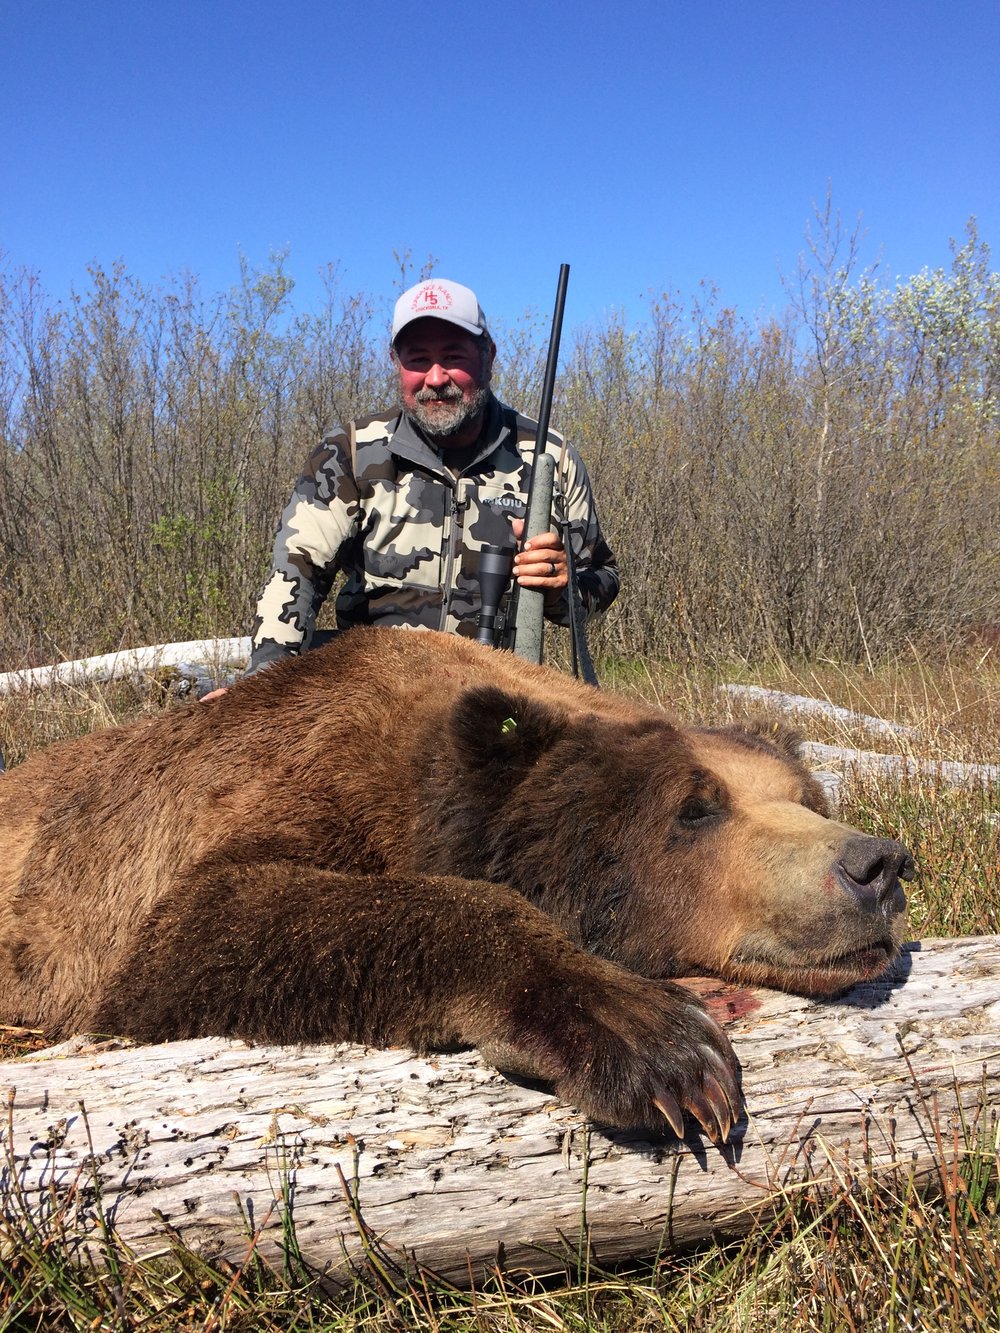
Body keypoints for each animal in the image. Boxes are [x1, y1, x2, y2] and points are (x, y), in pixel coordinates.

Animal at [0, 628, 913, 1142]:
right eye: (696, 806)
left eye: (804, 797)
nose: (877, 865)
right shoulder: (266, 791)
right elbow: (208, 919)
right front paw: (662, 1048)